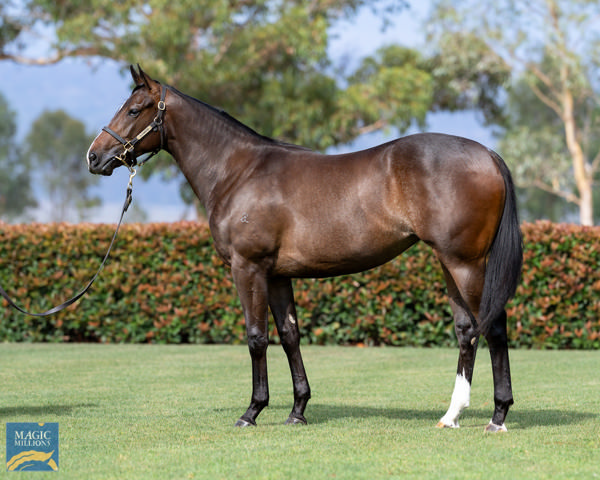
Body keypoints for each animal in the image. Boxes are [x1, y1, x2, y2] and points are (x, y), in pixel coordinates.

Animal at [86, 65, 524, 434]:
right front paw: (297, 410)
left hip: (466, 264)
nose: (95, 156)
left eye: (134, 109)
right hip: (449, 263)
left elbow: (256, 337)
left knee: (494, 326)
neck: (238, 171)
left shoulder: (248, 268)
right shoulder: (279, 275)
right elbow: (289, 336)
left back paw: (498, 416)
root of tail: (487, 154)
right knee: (467, 330)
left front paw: (252, 411)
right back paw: (452, 415)